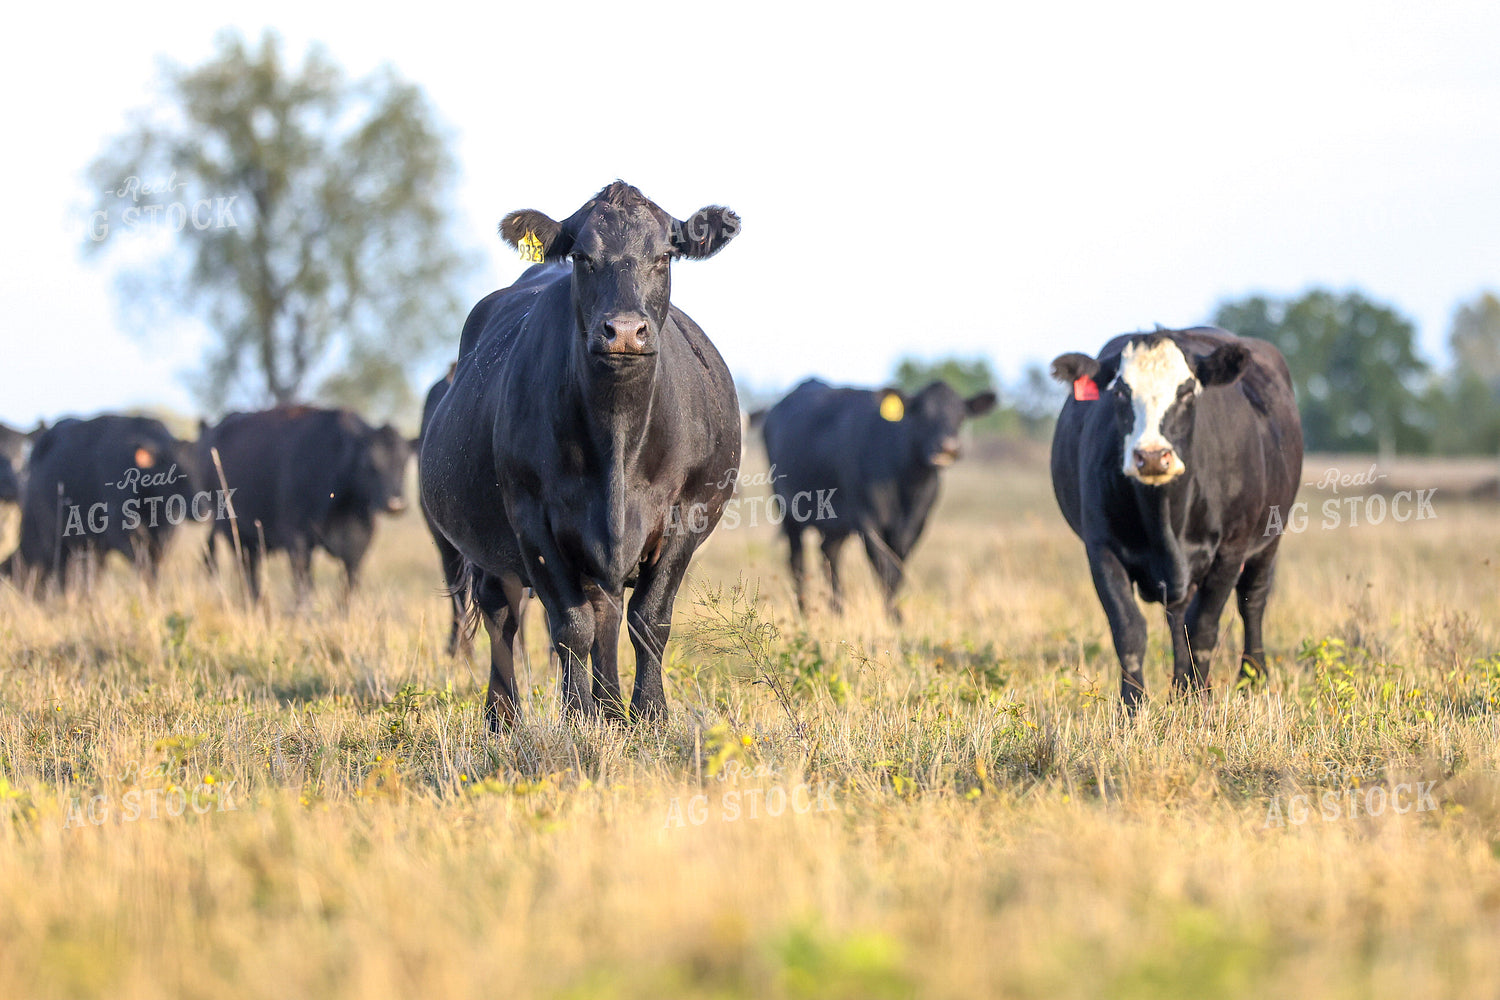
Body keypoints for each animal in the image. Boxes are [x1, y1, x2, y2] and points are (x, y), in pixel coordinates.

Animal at [199, 405, 413, 604]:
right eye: (369, 462)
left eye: (403, 462)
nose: (396, 504)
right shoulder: (297, 541)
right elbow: (304, 586)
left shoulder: (358, 544)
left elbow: (348, 587)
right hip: (234, 533)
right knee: (247, 573)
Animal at [420, 181, 741, 729]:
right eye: (582, 257)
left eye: (664, 255)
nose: (625, 331)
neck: (618, 440)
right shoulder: (533, 520)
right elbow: (570, 626)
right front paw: (576, 718)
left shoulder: (688, 514)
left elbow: (648, 619)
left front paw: (648, 715)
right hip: (488, 547)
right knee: (504, 616)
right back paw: (504, 716)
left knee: (607, 613)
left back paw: (610, 708)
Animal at [759, 378, 996, 620]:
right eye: (923, 413)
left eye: (961, 415)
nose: (949, 447)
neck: (907, 485)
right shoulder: (868, 521)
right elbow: (884, 567)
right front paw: (894, 617)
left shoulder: (916, 524)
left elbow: (898, 567)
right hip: (788, 511)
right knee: (797, 561)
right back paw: (804, 612)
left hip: (837, 522)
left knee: (829, 553)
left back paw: (838, 610)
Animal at [1048, 326, 1303, 710]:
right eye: (1121, 391)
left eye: (1185, 391)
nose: (1152, 456)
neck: (1165, 514)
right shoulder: (1101, 549)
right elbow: (1129, 630)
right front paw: (1133, 708)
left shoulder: (1231, 549)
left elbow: (1204, 629)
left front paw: (1201, 703)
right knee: (1178, 614)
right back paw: (1182, 688)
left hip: (1269, 538)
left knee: (1252, 602)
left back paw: (1251, 679)